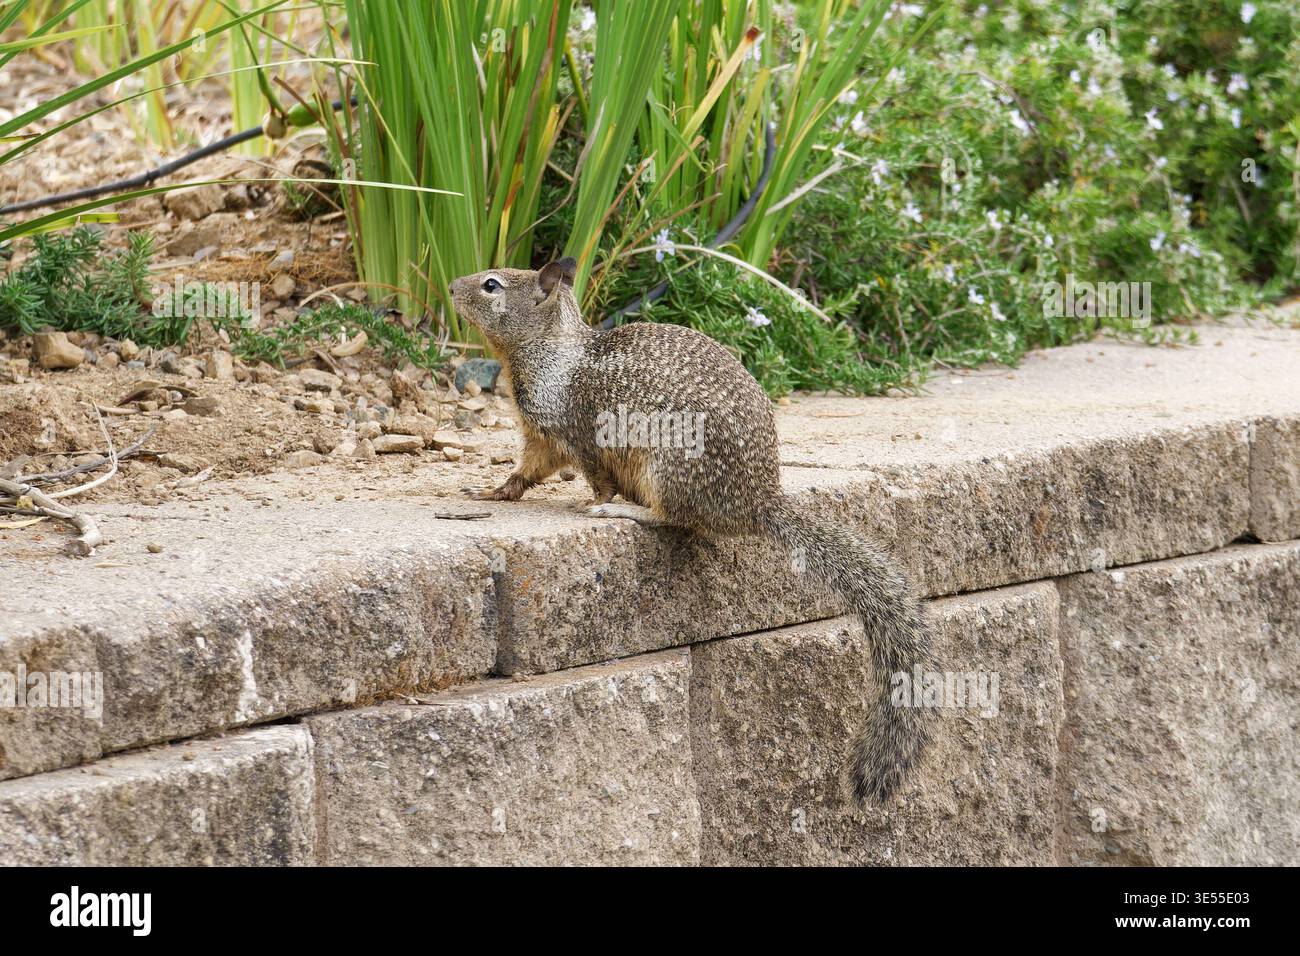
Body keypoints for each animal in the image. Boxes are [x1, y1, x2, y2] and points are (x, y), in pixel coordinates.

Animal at [449, 256, 934, 804]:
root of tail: (759, 501)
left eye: (491, 285)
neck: (555, 355)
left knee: (677, 518)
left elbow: (594, 477)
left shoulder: (576, 435)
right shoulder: (542, 437)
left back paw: (627, 513)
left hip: (667, 467)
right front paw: (492, 492)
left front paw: (596, 502)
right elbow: (525, 472)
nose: (450, 285)